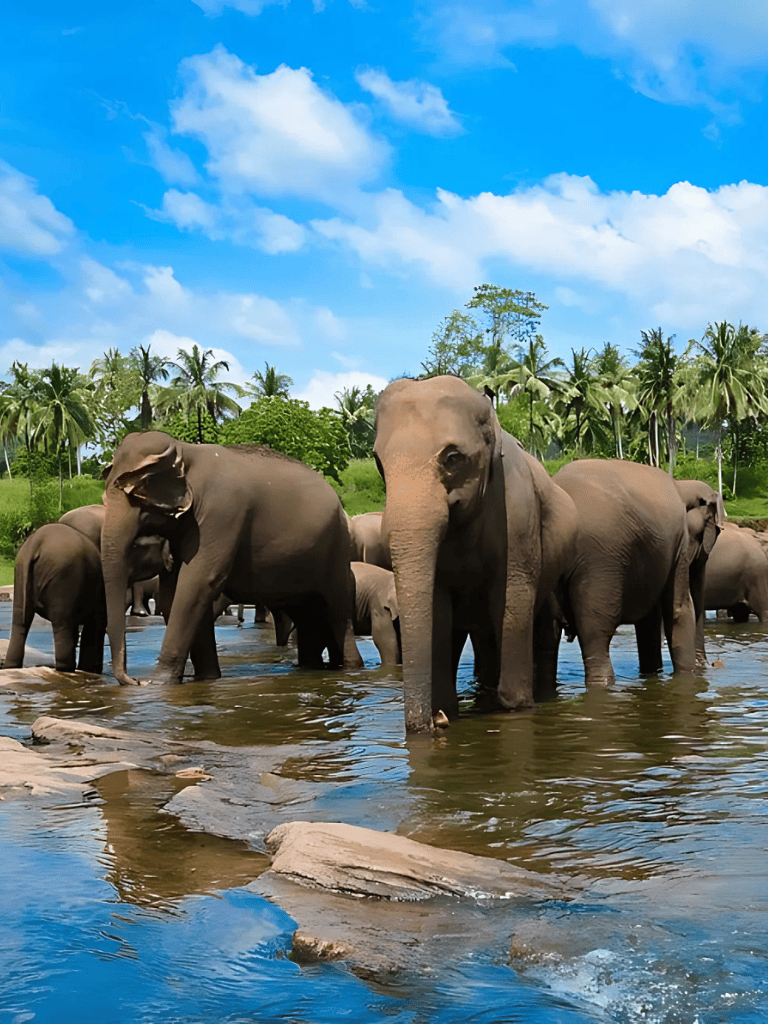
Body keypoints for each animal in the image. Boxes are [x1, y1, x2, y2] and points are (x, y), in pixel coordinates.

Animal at [3, 523, 106, 673]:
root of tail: (35, 543)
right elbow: (97, 624)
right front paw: (89, 670)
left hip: (21, 573)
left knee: (20, 622)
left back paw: (11, 667)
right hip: (63, 577)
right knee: (62, 623)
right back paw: (66, 670)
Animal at [101, 431, 361, 686]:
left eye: (137, 492)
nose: (135, 680)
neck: (184, 450)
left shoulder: (221, 512)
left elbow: (196, 583)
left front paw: (159, 683)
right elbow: (172, 593)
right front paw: (206, 678)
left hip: (337, 549)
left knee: (337, 612)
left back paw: (351, 668)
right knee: (307, 615)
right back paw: (310, 669)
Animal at [374, 375, 578, 732]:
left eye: (453, 458)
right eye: (378, 464)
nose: (436, 722)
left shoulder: (518, 514)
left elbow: (511, 600)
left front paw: (516, 707)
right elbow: (439, 612)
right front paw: (447, 710)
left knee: (542, 625)